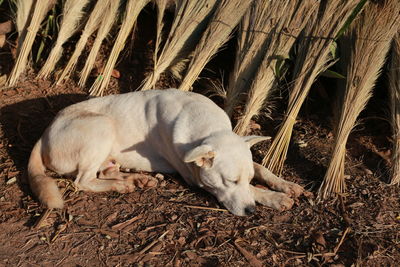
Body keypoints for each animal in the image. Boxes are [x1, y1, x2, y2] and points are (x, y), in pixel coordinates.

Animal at [28, 89, 304, 217]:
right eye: (230, 181)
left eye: (244, 179)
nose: (251, 212)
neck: (207, 126)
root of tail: (43, 134)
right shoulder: (196, 178)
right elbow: (251, 191)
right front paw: (273, 197)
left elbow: (260, 169)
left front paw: (284, 185)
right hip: (102, 125)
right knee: (82, 181)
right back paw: (122, 185)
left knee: (102, 173)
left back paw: (136, 180)